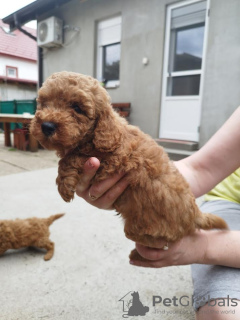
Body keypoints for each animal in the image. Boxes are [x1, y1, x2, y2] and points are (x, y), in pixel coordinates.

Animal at [30, 71, 227, 262]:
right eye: (44, 103)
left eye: (77, 108)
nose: (47, 126)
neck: (100, 134)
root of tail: (195, 214)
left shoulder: (113, 163)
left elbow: (71, 157)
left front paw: (64, 185)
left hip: (150, 228)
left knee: (147, 238)